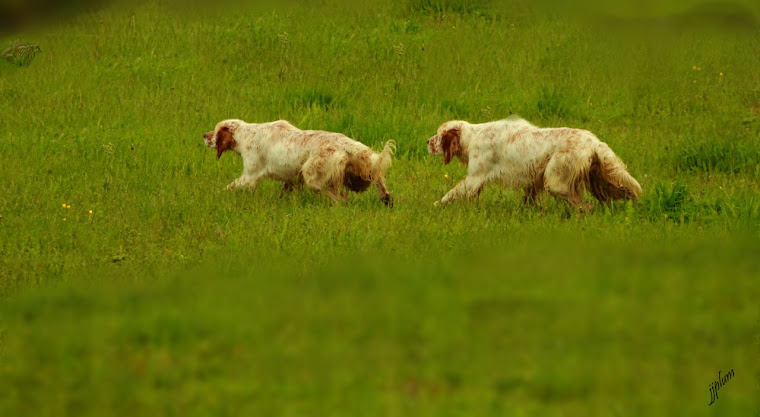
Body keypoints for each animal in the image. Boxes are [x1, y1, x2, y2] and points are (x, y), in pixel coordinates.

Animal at [208, 118, 398, 205]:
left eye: (215, 132)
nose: (204, 135)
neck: (246, 134)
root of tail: (346, 143)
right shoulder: (291, 179)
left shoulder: (249, 175)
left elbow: (230, 187)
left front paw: (215, 196)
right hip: (360, 169)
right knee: (378, 181)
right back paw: (386, 199)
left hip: (313, 175)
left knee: (342, 198)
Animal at [428, 115, 640, 208]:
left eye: (438, 136)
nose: (427, 142)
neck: (472, 137)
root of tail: (593, 140)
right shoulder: (533, 181)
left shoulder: (474, 178)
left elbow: (451, 194)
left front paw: (436, 204)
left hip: (556, 181)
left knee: (584, 207)